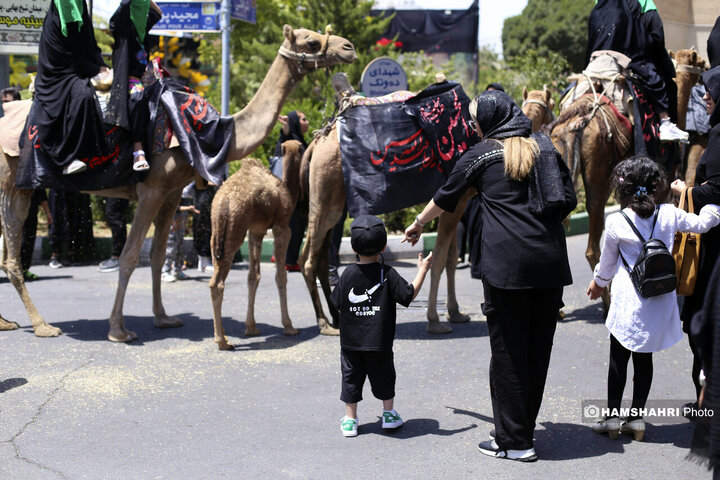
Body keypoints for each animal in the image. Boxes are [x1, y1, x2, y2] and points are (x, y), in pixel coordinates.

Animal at [207, 141, 302, 350]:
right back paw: (222, 341)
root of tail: (224, 202)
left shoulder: (255, 231)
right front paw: (289, 326)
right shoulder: (282, 226)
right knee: (217, 283)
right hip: (234, 231)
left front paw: (251, 327)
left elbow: (253, 276)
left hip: (216, 235)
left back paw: (223, 337)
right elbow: (280, 276)